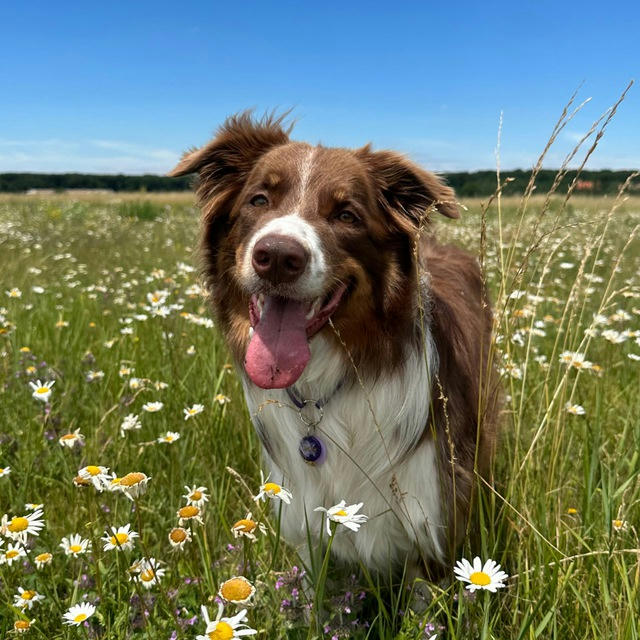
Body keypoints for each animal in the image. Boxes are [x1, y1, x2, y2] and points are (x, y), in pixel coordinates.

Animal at [171, 112, 500, 576]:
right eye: (258, 199)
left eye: (347, 214)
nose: (277, 257)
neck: (324, 388)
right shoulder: (306, 521)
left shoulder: (431, 522)